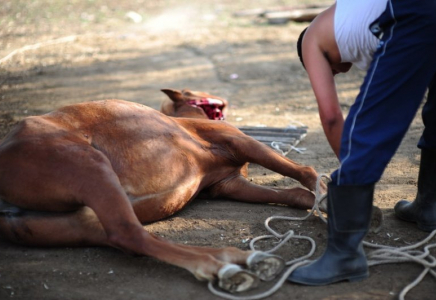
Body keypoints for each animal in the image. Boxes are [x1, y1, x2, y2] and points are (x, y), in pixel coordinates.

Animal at [0, 88, 326, 292]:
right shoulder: (239, 142)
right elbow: (304, 172)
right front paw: (324, 195)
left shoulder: (229, 185)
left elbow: (295, 194)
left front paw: (320, 207)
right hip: (91, 166)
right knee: (129, 234)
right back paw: (224, 266)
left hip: (74, 222)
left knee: (131, 239)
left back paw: (236, 261)